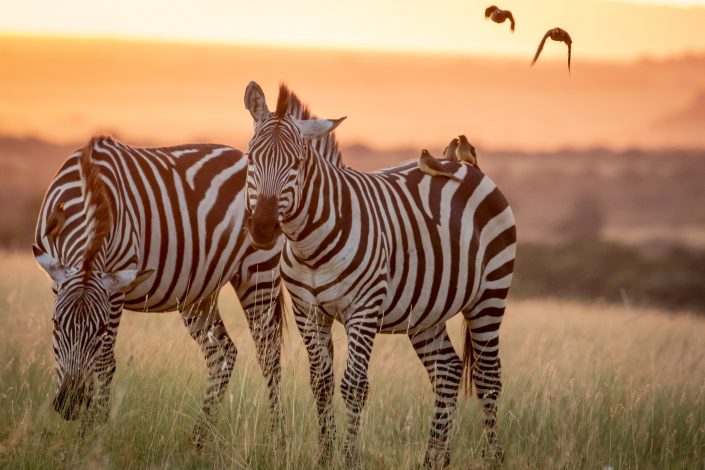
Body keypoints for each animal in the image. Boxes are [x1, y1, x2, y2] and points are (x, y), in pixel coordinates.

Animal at [31, 135, 288, 444]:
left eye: (101, 330)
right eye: (55, 324)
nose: (70, 404)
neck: (89, 190)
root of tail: (244, 156)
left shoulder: (115, 290)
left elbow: (104, 363)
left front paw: (94, 434)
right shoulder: (58, 282)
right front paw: (86, 428)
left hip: (259, 271)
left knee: (269, 356)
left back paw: (277, 439)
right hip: (199, 292)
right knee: (223, 353)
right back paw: (198, 438)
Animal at [242, 82, 516, 468]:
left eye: (296, 163)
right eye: (251, 158)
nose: (264, 229)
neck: (309, 244)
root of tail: (465, 165)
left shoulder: (363, 309)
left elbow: (354, 386)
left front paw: (347, 459)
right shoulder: (307, 311)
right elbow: (321, 383)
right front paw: (325, 456)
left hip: (490, 295)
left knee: (488, 377)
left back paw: (493, 459)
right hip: (425, 311)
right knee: (447, 371)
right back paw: (433, 460)